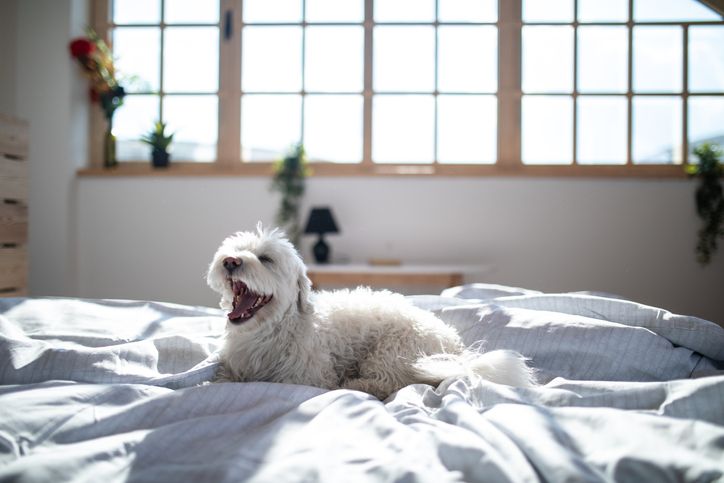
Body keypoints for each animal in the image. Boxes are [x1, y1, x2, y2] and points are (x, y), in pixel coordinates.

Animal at [206, 225, 536, 398]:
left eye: (266, 259)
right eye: (234, 250)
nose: (231, 261)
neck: (270, 331)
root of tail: (456, 349)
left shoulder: (307, 377)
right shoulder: (233, 368)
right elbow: (221, 380)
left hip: (391, 351)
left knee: (394, 383)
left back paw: (357, 385)